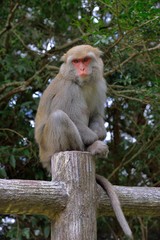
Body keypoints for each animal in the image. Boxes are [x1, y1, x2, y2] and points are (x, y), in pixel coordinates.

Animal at [34, 45, 132, 240]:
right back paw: (86, 149)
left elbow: (96, 115)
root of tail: (44, 158)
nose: (82, 69)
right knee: (59, 117)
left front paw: (101, 134)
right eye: (76, 61)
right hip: (50, 148)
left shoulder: (100, 84)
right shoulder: (69, 90)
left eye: (85, 60)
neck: (82, 83)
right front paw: (97, 144)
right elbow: (72, 117)